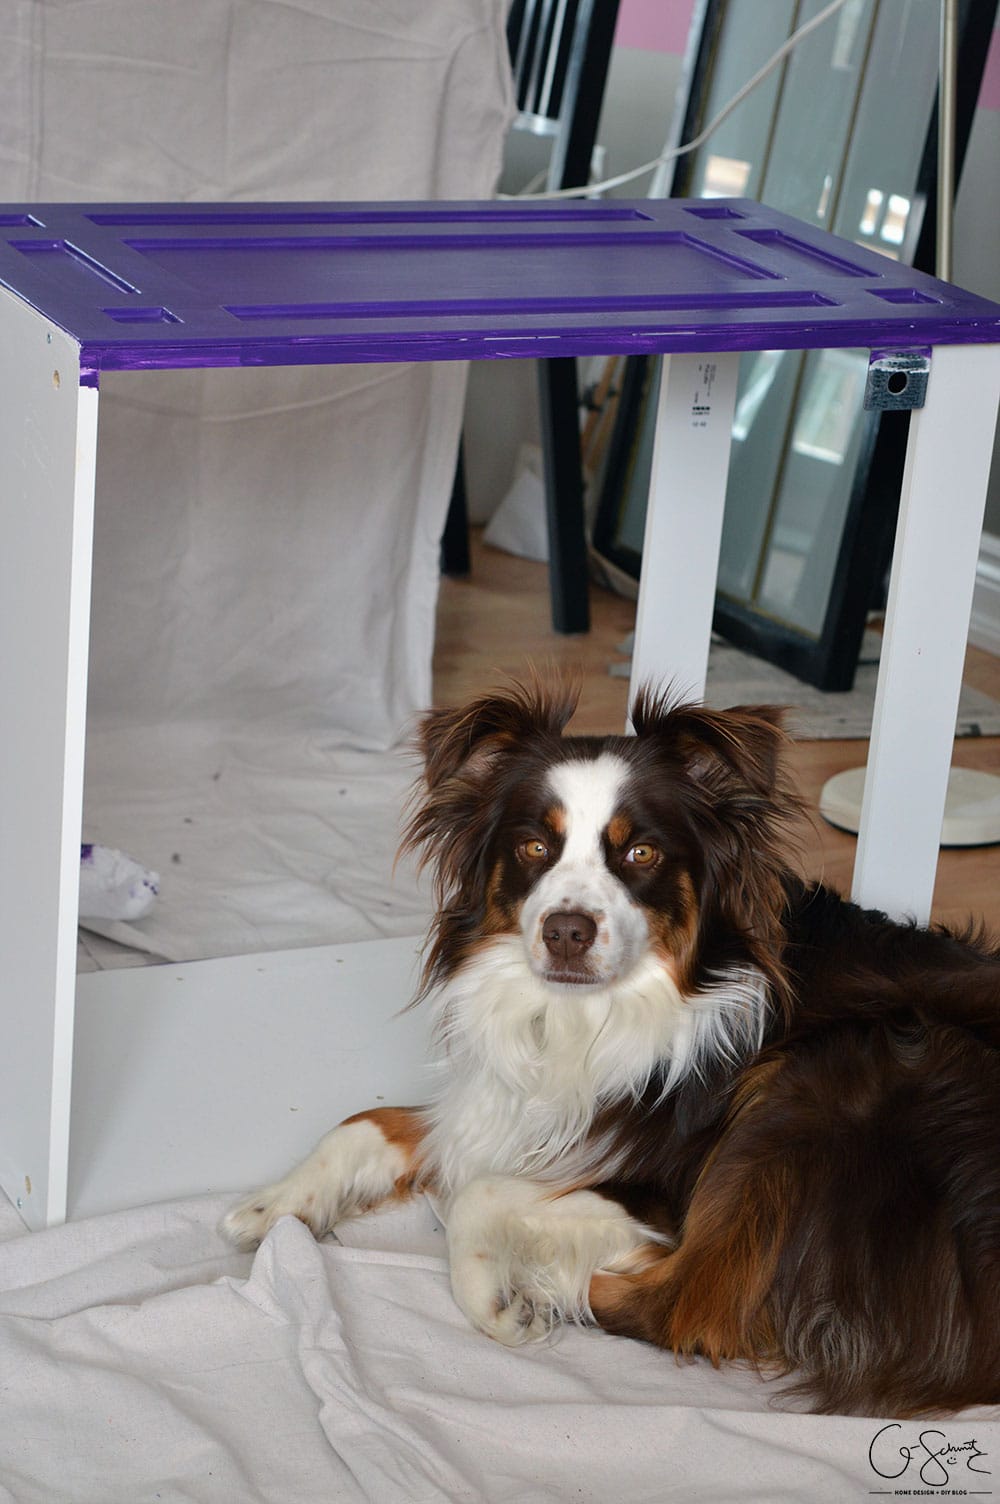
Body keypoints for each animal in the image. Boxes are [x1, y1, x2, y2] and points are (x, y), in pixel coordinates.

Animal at [224, 682, 998, 1419]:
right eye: (536, 847)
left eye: (640, 852)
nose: (567, 931)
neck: (582, 1016)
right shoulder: (497, 1105)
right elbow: (367, 1122)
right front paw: (274, 1204)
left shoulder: (658, 1181)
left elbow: (483, 1191)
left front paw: (497, 1297)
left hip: (820, 1087)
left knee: (690, 1303)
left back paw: (569, 1279)